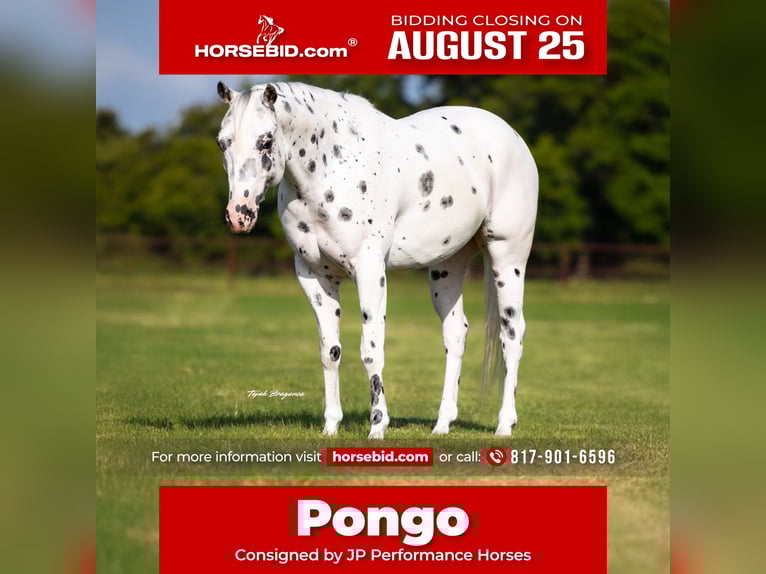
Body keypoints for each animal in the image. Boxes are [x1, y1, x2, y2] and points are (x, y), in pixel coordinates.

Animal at [215, 81, 538, 439]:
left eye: (266, 141)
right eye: (222, 142)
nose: (239, 214)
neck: (332, 167)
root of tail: (511, 136)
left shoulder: (369, 271)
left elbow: (371, 351)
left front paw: (377, 425)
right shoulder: (314, 276)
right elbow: (330, 352)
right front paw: (330, 426)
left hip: (507, 258)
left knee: (512, 334)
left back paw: (504, 424)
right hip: (447, 266)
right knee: (456, 334)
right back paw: (442, 425)